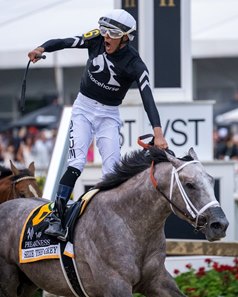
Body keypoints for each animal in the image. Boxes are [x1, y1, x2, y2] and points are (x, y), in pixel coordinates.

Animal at [0, 148, 229, 296]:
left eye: (210, 180)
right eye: (190, 184)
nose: (220, 224)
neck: (129, 222)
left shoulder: (157, 280)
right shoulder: (115, 285)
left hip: (29, 281)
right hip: (9, 279)